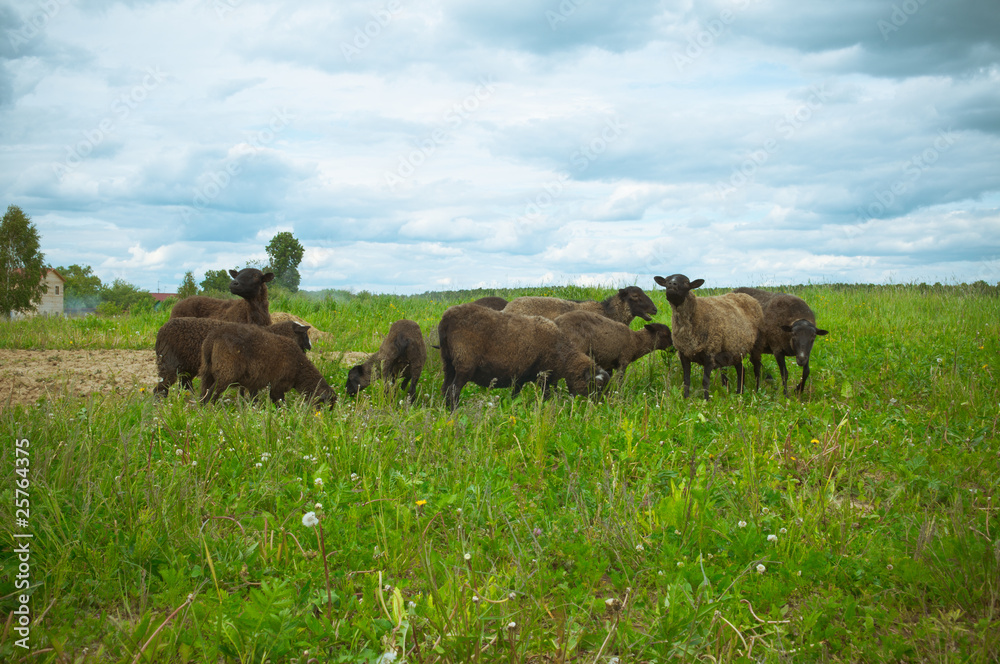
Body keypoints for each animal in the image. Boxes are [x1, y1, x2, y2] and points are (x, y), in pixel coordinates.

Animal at [154, 316, 310, 394]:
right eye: (304, 335)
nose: (310, 347)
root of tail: (161, 330)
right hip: (168, 363)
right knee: (159, 389)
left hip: (187, 369)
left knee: (185, 387)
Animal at [198, 320, 336, 408]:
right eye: (327, 404)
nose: (325, 419)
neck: (299, 369)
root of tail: (212, 338)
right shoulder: (277, 385)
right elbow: (280, 404)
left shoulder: (256, 382)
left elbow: (254, 399)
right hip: (226, 372)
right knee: (210, 394)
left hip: (207, 372)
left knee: (203, 393)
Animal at [438, 302, 608, 410]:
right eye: (596, 386)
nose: (599, 407)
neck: (563, 356)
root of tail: (446, 318)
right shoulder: (544, 376)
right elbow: (546, 396)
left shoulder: (520, 378)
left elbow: (515, 397)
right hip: (464, 362)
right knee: (453, 390)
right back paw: (455, 412)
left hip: (448, 362)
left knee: (445, 388)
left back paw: (445, 411)